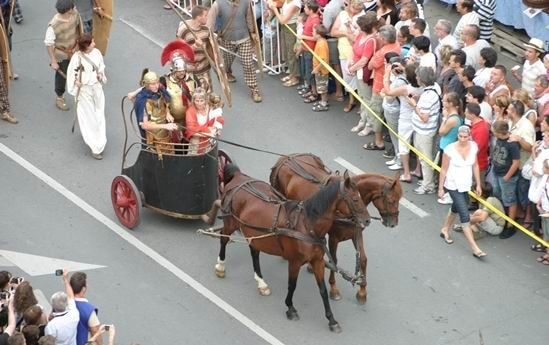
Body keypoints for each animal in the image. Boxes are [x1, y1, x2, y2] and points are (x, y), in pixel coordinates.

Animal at [203, 163, 370, 332]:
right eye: (355, 199)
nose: (367, 220)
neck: (307, 226)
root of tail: (238, 177)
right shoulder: (295, 261)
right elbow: (292, 285)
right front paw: (290, 308)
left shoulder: (317, 261)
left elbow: (322, 290)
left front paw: (331, 319)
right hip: (230, 222)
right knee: (224, 238)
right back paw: (221, 266)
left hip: (254, 232)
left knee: (254, 251)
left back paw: (261, 283)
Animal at [270, 152, 402, 302]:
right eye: (391, 200)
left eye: (398, 200)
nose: (393, 223)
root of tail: (287, 157)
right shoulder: (334, 237)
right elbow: (334, 260)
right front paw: (333, 288)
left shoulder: (356, 234)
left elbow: (363, 259)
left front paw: (362, 290)